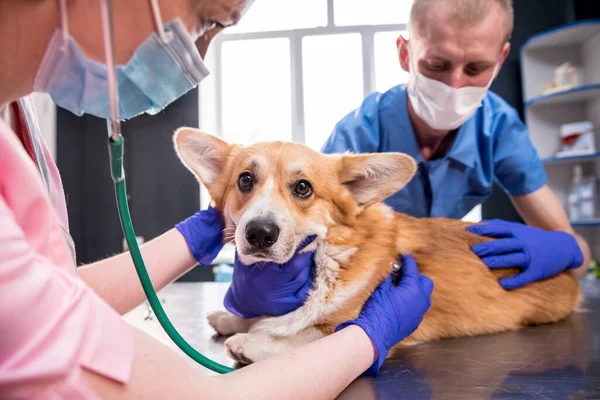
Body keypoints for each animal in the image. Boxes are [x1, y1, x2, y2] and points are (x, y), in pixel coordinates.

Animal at [172, 128, 580, 366]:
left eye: (303, 187)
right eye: (245, 180)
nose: (258, 234)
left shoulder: (349, 325)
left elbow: (303, 336)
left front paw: (252, 341)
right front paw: (233, 318)